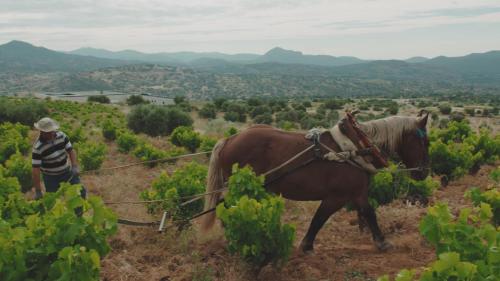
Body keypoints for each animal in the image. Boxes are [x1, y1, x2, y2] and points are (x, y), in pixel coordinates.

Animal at [201, 113, 428, 252]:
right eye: (424, 141)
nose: (424, 172)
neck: (356, 146)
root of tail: (229, 140)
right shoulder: (336, 197)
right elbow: (319, 219)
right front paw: (307, 245)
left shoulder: (358, 193)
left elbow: (367, 213)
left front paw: (380, 241)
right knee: (225, 206)